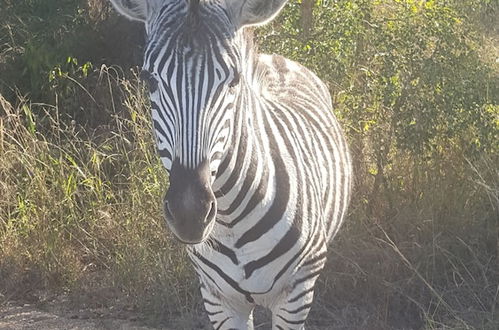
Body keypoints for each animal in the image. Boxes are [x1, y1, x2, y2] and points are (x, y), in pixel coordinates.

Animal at [110, 0, 352, 328]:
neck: (231, 220)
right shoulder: (218, 299)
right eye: (149, 79)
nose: (190, 214)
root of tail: (275, 59)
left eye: (235, 80)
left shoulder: (295, 295)